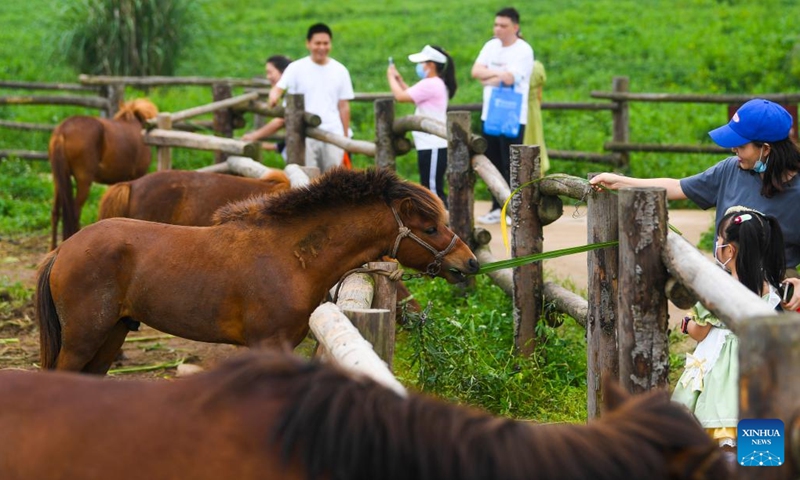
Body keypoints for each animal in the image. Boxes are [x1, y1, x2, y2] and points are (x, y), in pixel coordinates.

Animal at [48, 96, 159, 249]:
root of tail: (62, 131)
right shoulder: (137, 175)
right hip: (83, 181)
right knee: (75, 212)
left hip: (58, 179)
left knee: (55, 212)